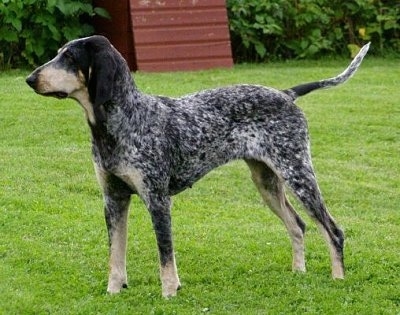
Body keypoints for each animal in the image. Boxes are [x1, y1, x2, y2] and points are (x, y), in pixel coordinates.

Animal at [24, 35, 368, 298]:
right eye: (58, 53)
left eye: (69, 57)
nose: (29, 79)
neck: (122, 123)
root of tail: (286, 94)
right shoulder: (113, 200)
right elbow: (115, 256)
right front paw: (113, 292)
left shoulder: (158, 200)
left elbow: (165, 256)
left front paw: (169, 293)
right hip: (267, 182)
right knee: (298, 225)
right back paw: (298, 273)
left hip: (298, 175)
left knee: (333, 231)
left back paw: (337, 278)